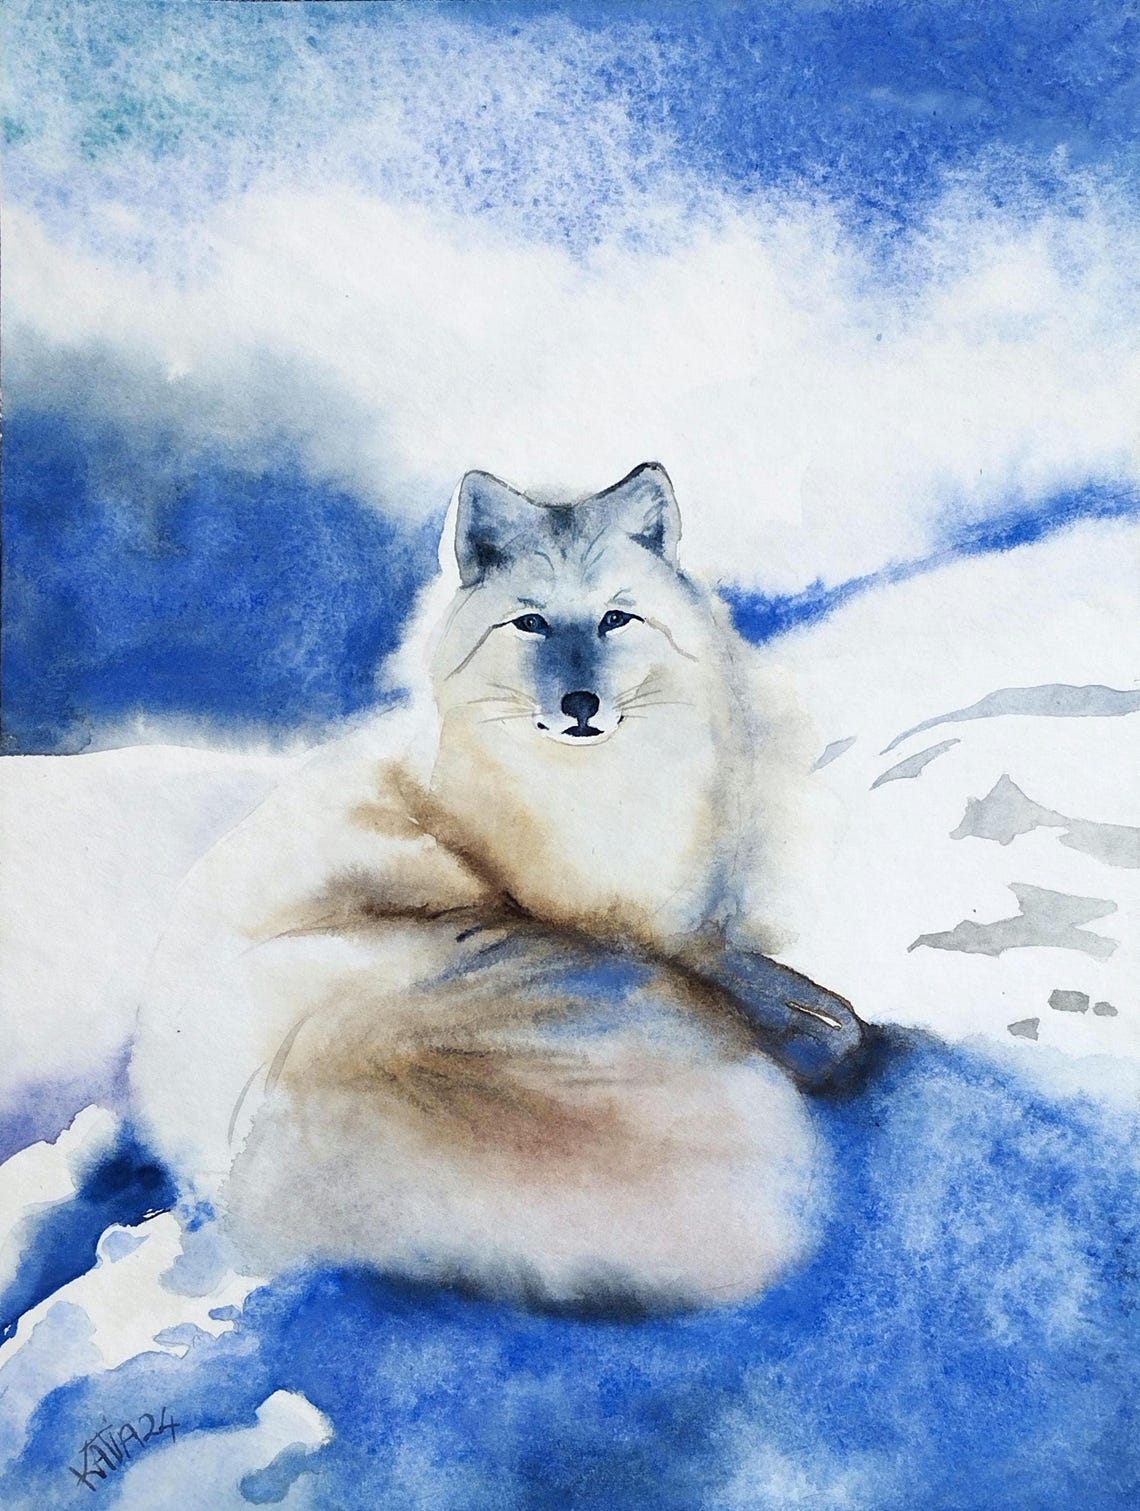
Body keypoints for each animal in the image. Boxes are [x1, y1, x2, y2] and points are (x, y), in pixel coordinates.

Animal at [131, 463, 865, 1309]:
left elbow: (795, 991)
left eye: (616, 619)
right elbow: (770, 998)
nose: (580, 705)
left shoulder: (681, 928)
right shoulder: (637, 939)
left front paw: (824, 1019)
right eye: (531, 624)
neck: (596, 794)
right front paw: (815, 1035)